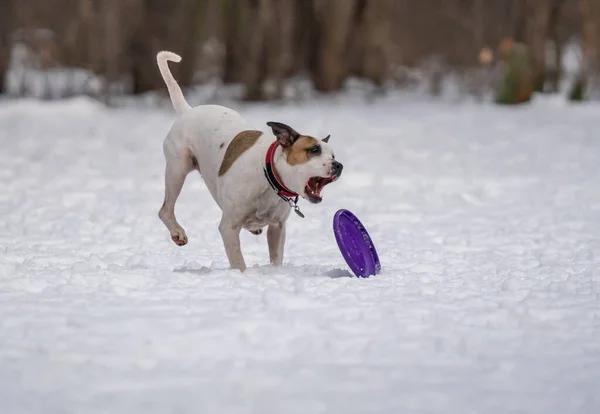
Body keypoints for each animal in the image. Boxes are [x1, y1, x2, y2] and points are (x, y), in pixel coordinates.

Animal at [156, 51, 342, 272]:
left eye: (333, 156)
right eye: (313, 150)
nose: (338, 165)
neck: (268, 177)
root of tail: (188, 111)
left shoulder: (277, 227)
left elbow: (276, 255)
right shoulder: (229, 227)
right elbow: (238, 261)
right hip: (177, 169)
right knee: (165, 209)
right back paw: (177, 231)